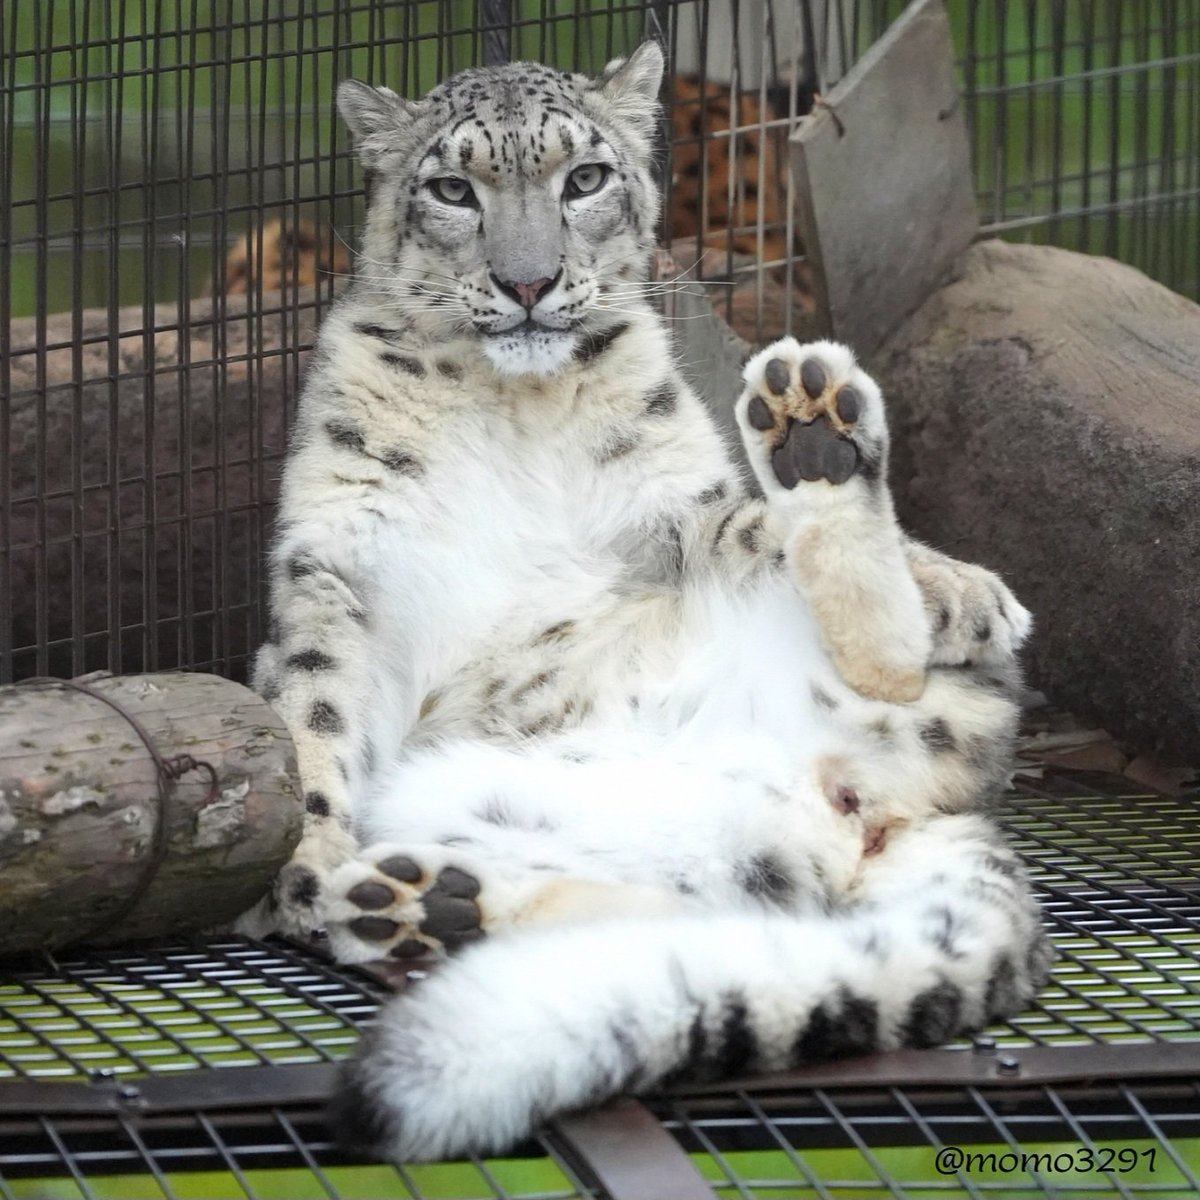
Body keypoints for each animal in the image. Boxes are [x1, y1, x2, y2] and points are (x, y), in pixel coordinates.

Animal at [242, 41, 1052, 1162]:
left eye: (583, 177)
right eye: (452, 190)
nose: (528, 280)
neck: (513, 406)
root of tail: (871, 797)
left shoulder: (685, 512)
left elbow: (750, 529)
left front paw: (961, 587)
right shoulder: (339, 574)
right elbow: (314, 721)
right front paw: (310, 866)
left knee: (861, 656)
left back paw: (816, 438)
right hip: (561, 821)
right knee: (693, 920)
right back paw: (419, 905)